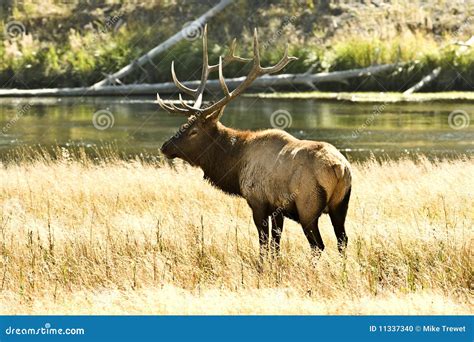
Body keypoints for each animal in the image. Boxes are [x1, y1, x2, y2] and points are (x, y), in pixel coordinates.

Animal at [159, 26, 352, 256]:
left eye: (194, 131)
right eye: (184, 124)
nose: (165, 146)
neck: (235, 165)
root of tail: (338, 167)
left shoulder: (257, 201)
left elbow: (264, 244)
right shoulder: (278, 208)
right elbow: (276, 246)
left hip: (308, 205)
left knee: (318, 246)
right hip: (341, 204)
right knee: (342, 241)